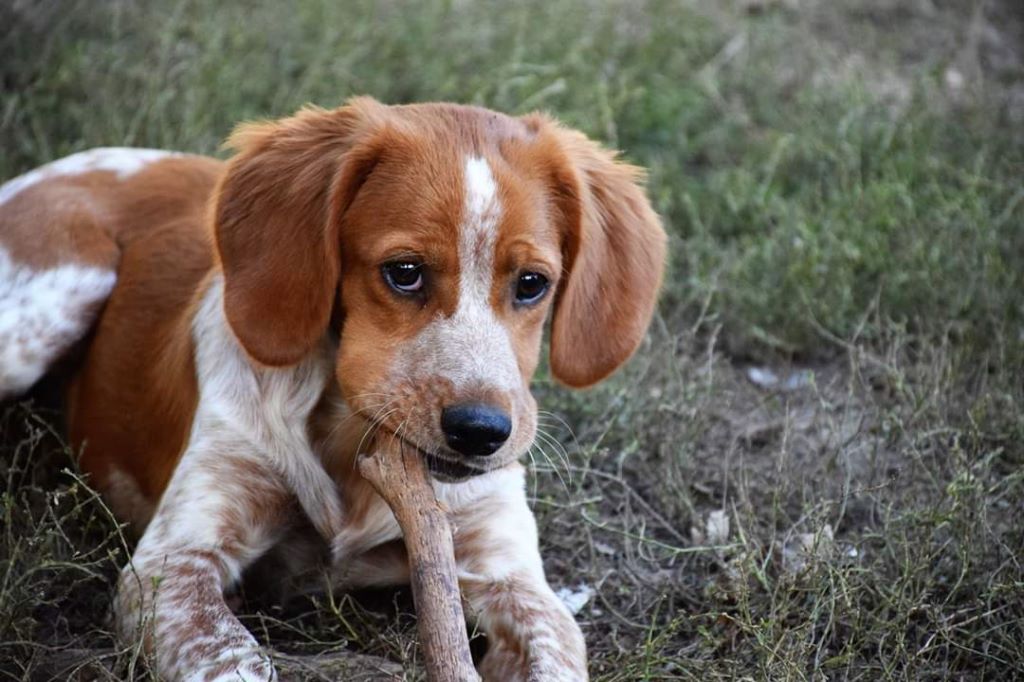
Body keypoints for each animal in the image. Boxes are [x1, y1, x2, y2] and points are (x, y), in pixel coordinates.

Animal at [0, 96, 667, 679]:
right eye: (404, 273)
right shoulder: (173, 564)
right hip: (59, 298)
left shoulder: (511, 574)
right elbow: (237, 661)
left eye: (532, 283)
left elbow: (556, 645)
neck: (348, 442)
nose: (481, 432)